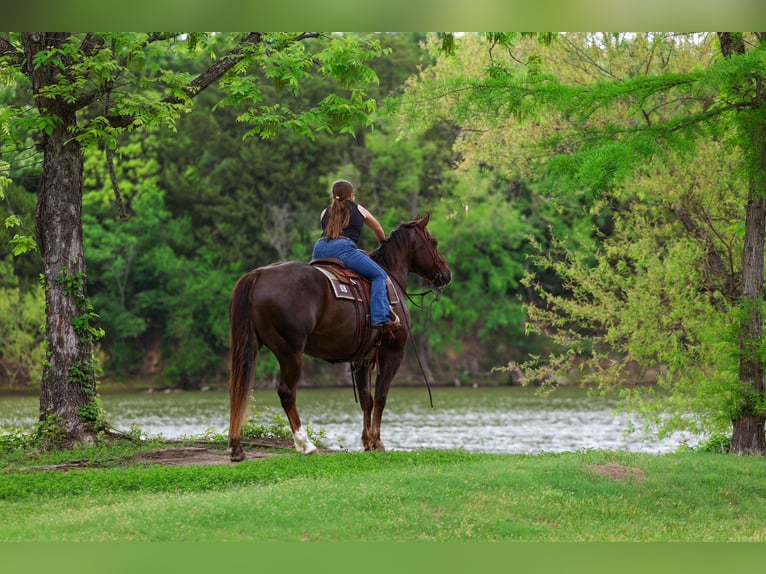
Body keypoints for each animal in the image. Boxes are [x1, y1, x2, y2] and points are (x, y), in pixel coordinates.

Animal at [227, 214, 451, 461]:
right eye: (434, 242)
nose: (446, 274)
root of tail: (259, 274)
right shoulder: (393, 353)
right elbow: (381, 396)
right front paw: (377, 441)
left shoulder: (362, 359)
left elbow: (366, 399)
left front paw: (367, 441)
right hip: (290, 352)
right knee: (286, 393)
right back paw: (306, 444)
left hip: (251, 346)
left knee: (240, 389)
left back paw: (237, 447)